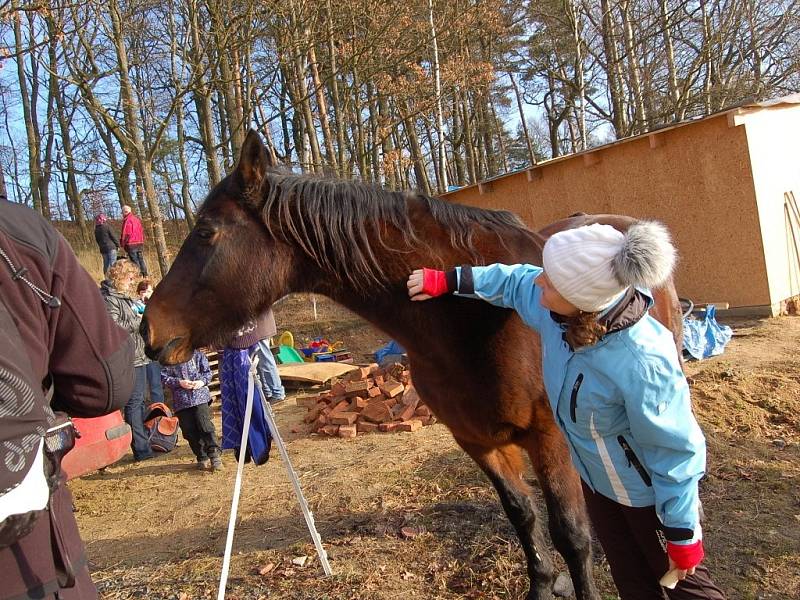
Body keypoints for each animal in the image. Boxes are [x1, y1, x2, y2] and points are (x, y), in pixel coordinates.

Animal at [142, 132, 680, 600]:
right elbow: (523, 516)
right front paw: (543, 585)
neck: (473, 320)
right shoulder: (477, 440)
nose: (148, 330)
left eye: (206, 232)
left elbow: (571, 534)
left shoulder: (550, 436)